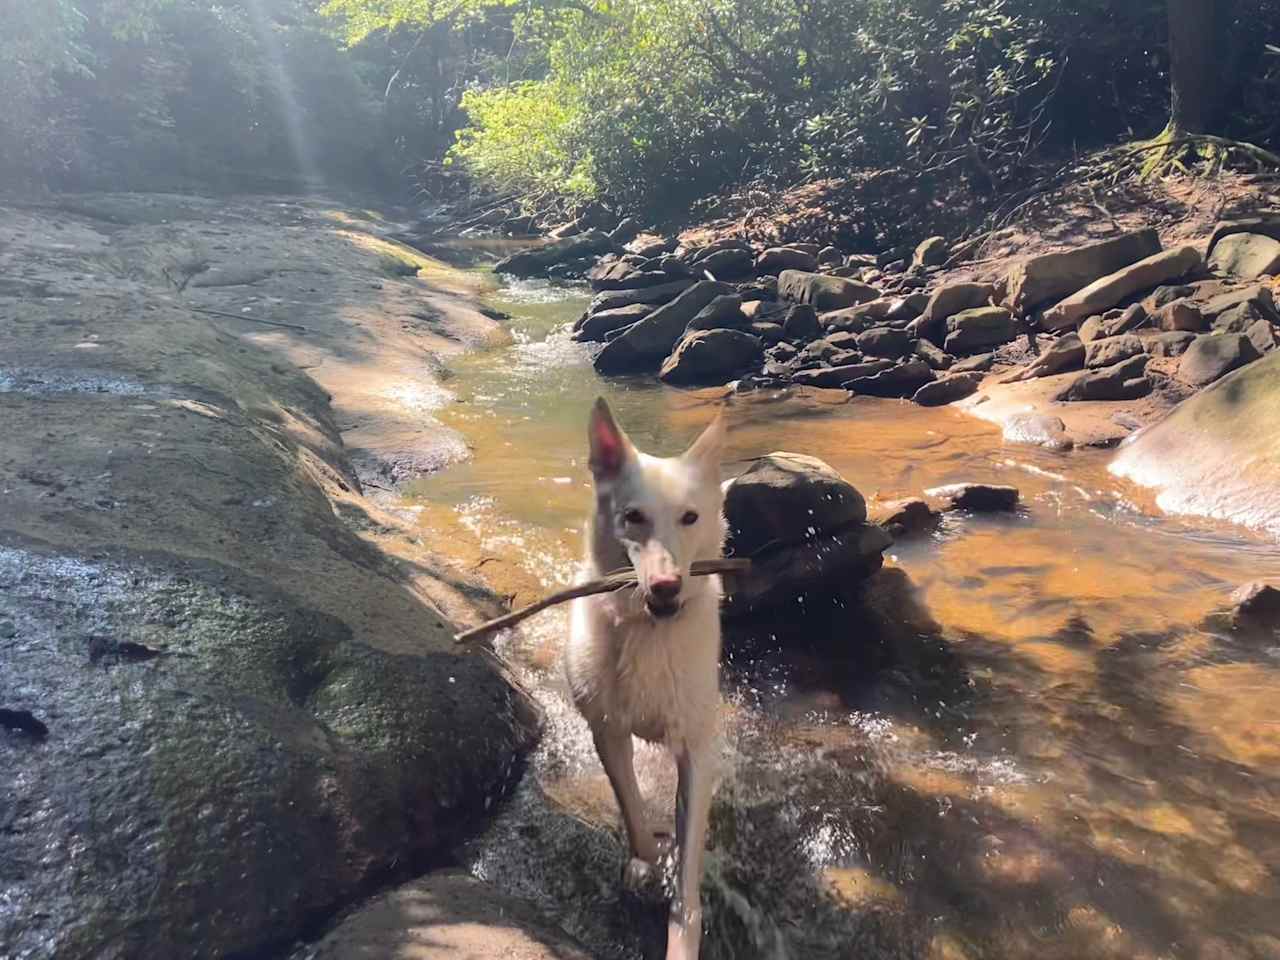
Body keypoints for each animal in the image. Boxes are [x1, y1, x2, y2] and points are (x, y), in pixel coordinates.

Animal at [565, 396, 727, 960]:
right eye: (633, 517)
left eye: (689, 517)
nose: (665, 588)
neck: (648, 632)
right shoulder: (607, 731)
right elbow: (633, 811)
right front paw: (645, 864)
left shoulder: (696, 752)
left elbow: (688, 870)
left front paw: (682, 934)